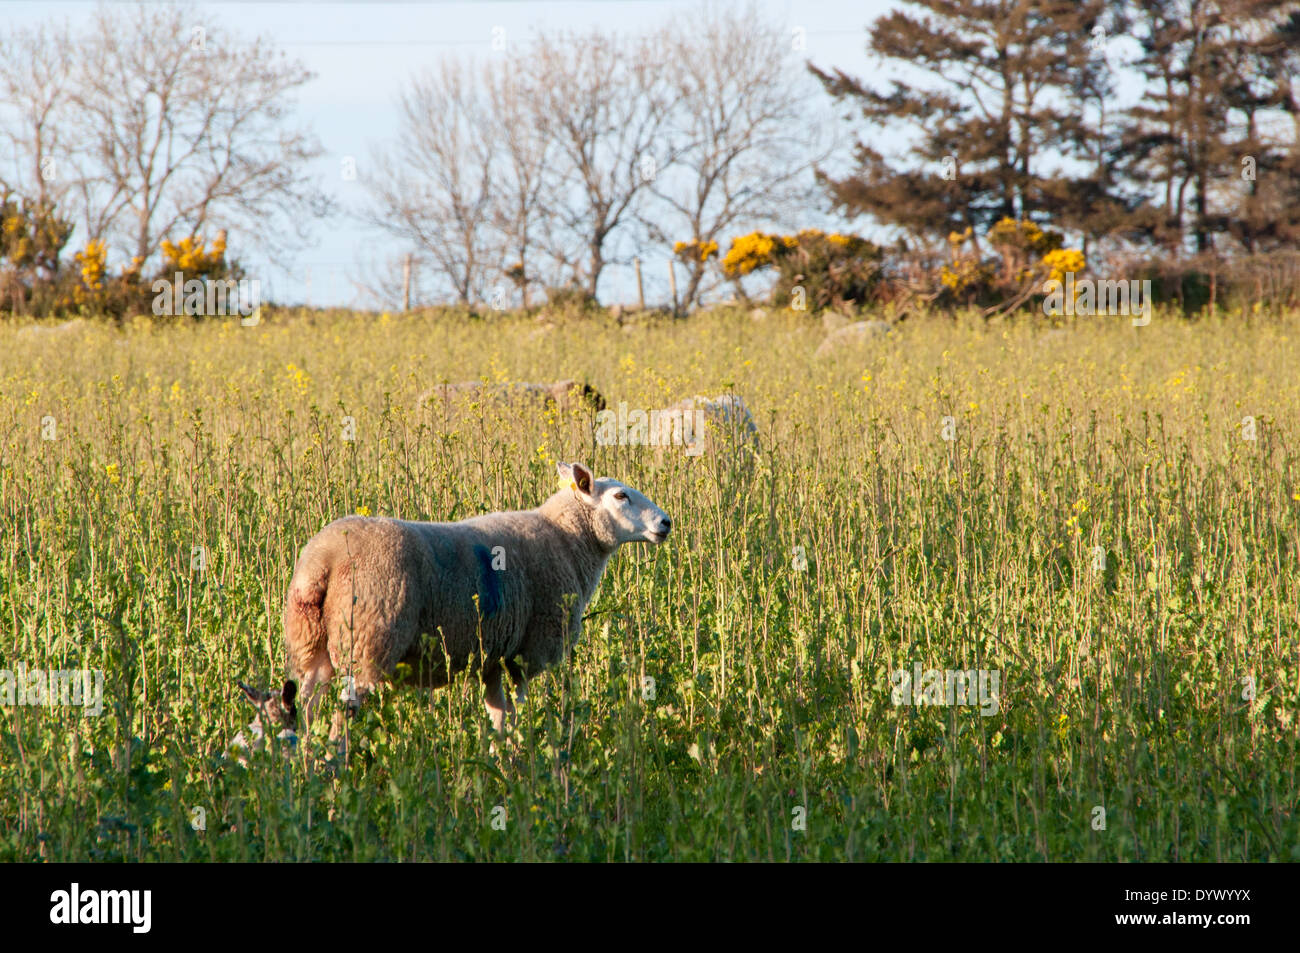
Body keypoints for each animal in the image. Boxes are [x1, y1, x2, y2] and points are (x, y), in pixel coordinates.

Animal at [239, 460, 676, 738]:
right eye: (621, 496)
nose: (666, 523)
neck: (566, 539)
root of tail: (323, 561)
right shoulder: (525, 655)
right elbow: (518, 715)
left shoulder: (495, 659)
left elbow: (498, 719)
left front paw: (500, 764)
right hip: (367, 642)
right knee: (339, 721)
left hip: (312, 647)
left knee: (305, 710)